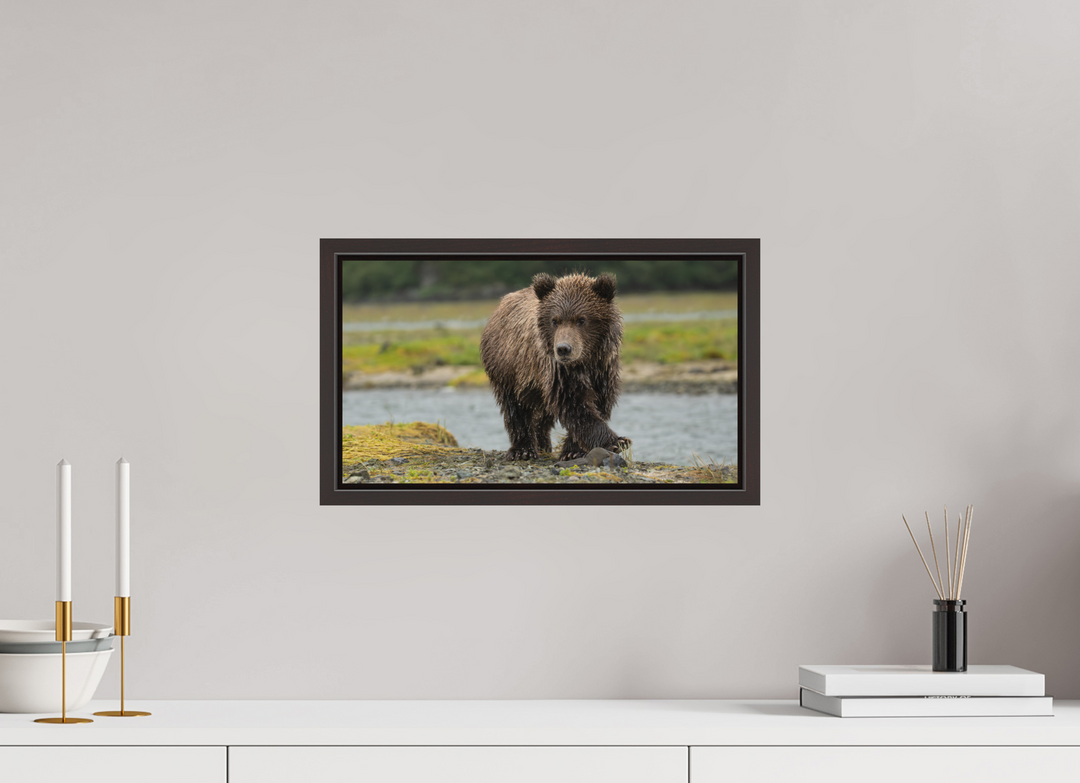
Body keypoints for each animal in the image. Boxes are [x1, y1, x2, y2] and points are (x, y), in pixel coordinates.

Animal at [480, 271, 632, 461]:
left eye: (582, 319)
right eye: (555, 320)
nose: (563, 349)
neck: (584, 361)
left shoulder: (602, 367)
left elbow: (598, 401)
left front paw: (574, 450)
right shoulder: (557, 370)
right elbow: (574, 404)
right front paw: (616, 441)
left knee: (542, 415)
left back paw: (543, 443)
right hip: (508, 368)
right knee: (515, 408)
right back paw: (523, 450)